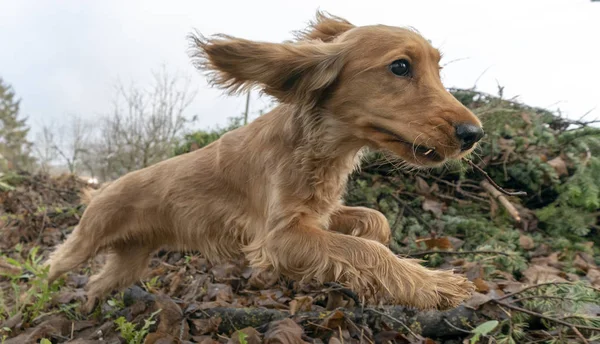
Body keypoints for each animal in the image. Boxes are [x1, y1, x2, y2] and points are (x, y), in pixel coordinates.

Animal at [44, 11, 480, 312]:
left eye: (438, 69)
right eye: (400, 67)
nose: (473, 134)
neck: (317, 146)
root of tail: (102, 188)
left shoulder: (317, 215)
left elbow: (375, 221)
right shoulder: (277, 238)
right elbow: (367, 252)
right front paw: (436, 286)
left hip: (131, 261)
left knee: (97, 283)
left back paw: (88, 308)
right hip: (85, 242)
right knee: (53, 265)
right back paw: (37, 296)